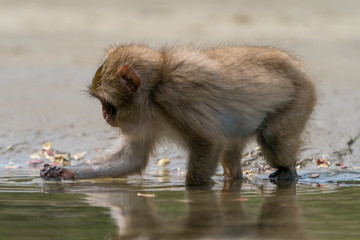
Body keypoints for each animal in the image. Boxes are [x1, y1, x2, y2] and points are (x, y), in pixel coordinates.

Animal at [38, 43, 316, 186]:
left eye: (108, 104)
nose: (105, 116)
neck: (153, 92)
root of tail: (301, 70)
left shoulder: (177, 97)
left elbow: (209, 142)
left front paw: (196, 190)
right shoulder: (141, 121)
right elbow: (130, 159)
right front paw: (64, 172)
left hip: (299, 99)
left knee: (272, 137)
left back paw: (288, 171)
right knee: (231, 151)